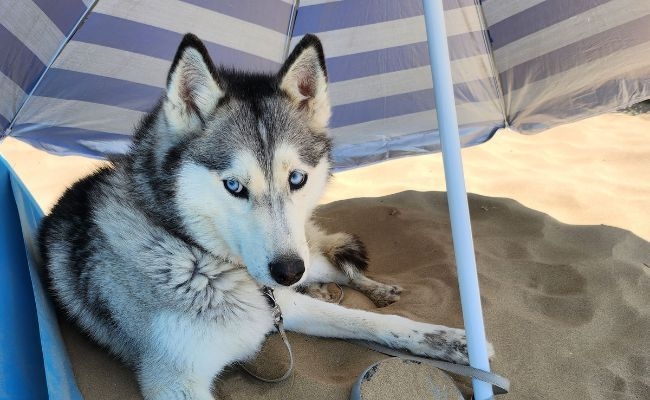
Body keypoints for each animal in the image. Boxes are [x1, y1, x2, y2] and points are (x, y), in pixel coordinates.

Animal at [36, 32, 480, 398]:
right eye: (234, 186)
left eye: (297, 178)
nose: (287, 271)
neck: (196, 255)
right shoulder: (176, 380)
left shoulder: (280, 301)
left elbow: (364, 321)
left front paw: (452, 341)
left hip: (308, 256)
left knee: (334, 264)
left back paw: (370, 288)